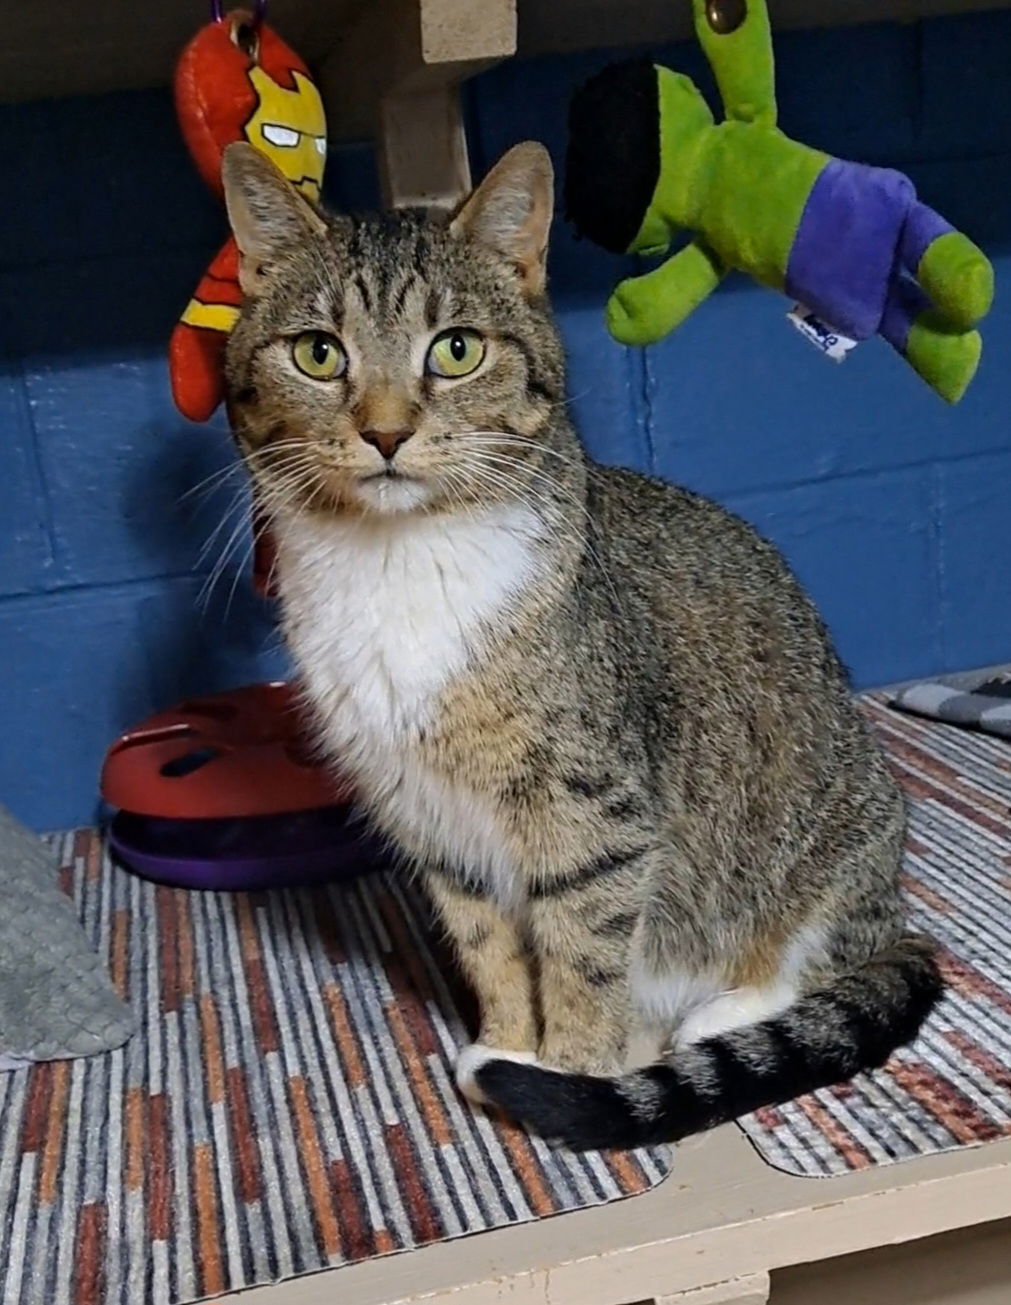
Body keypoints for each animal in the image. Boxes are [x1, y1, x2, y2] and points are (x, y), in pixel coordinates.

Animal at [219, 137, 939, 1148]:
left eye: (456, 349)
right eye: (319, 354)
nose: (386, 431)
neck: (398, 560)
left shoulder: (591, 812)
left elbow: (581, 948)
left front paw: (568, 1067)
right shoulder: (432, 818)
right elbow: (487, 943)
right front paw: (507, 1043)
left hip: (833, 837)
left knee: (831, 954)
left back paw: (717, 1012)